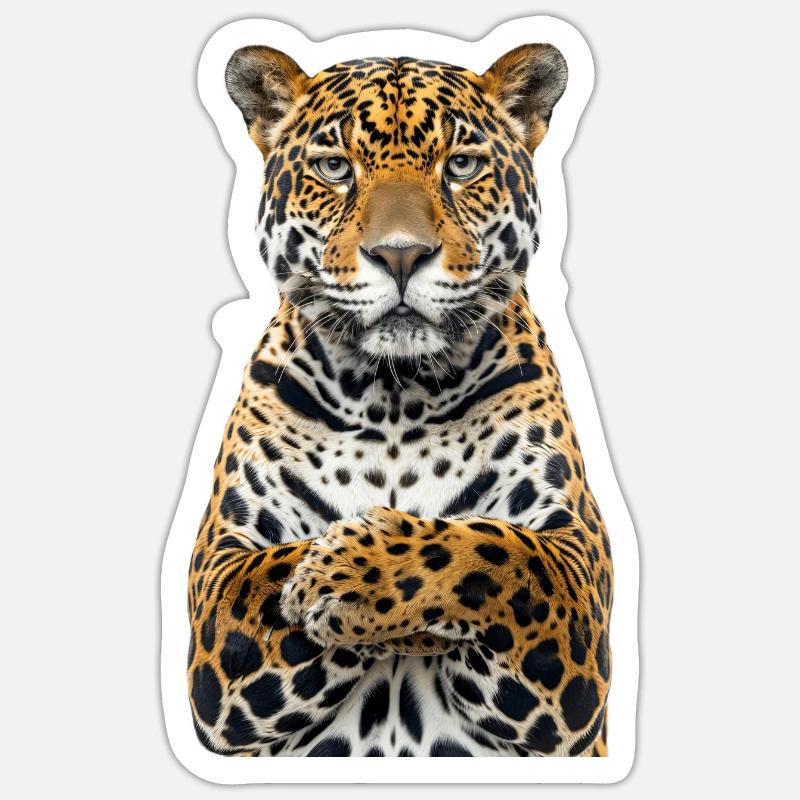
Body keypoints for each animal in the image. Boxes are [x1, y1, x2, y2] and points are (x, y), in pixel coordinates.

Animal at [186, 42, 612, 757]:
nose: (401, 255)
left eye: (461, 166)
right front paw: (332, 584)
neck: (394, 394)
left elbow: (495, 549)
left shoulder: (580, 565)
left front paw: (346, 576)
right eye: (335, 168)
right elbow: (267, 576)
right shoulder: (218, 577)